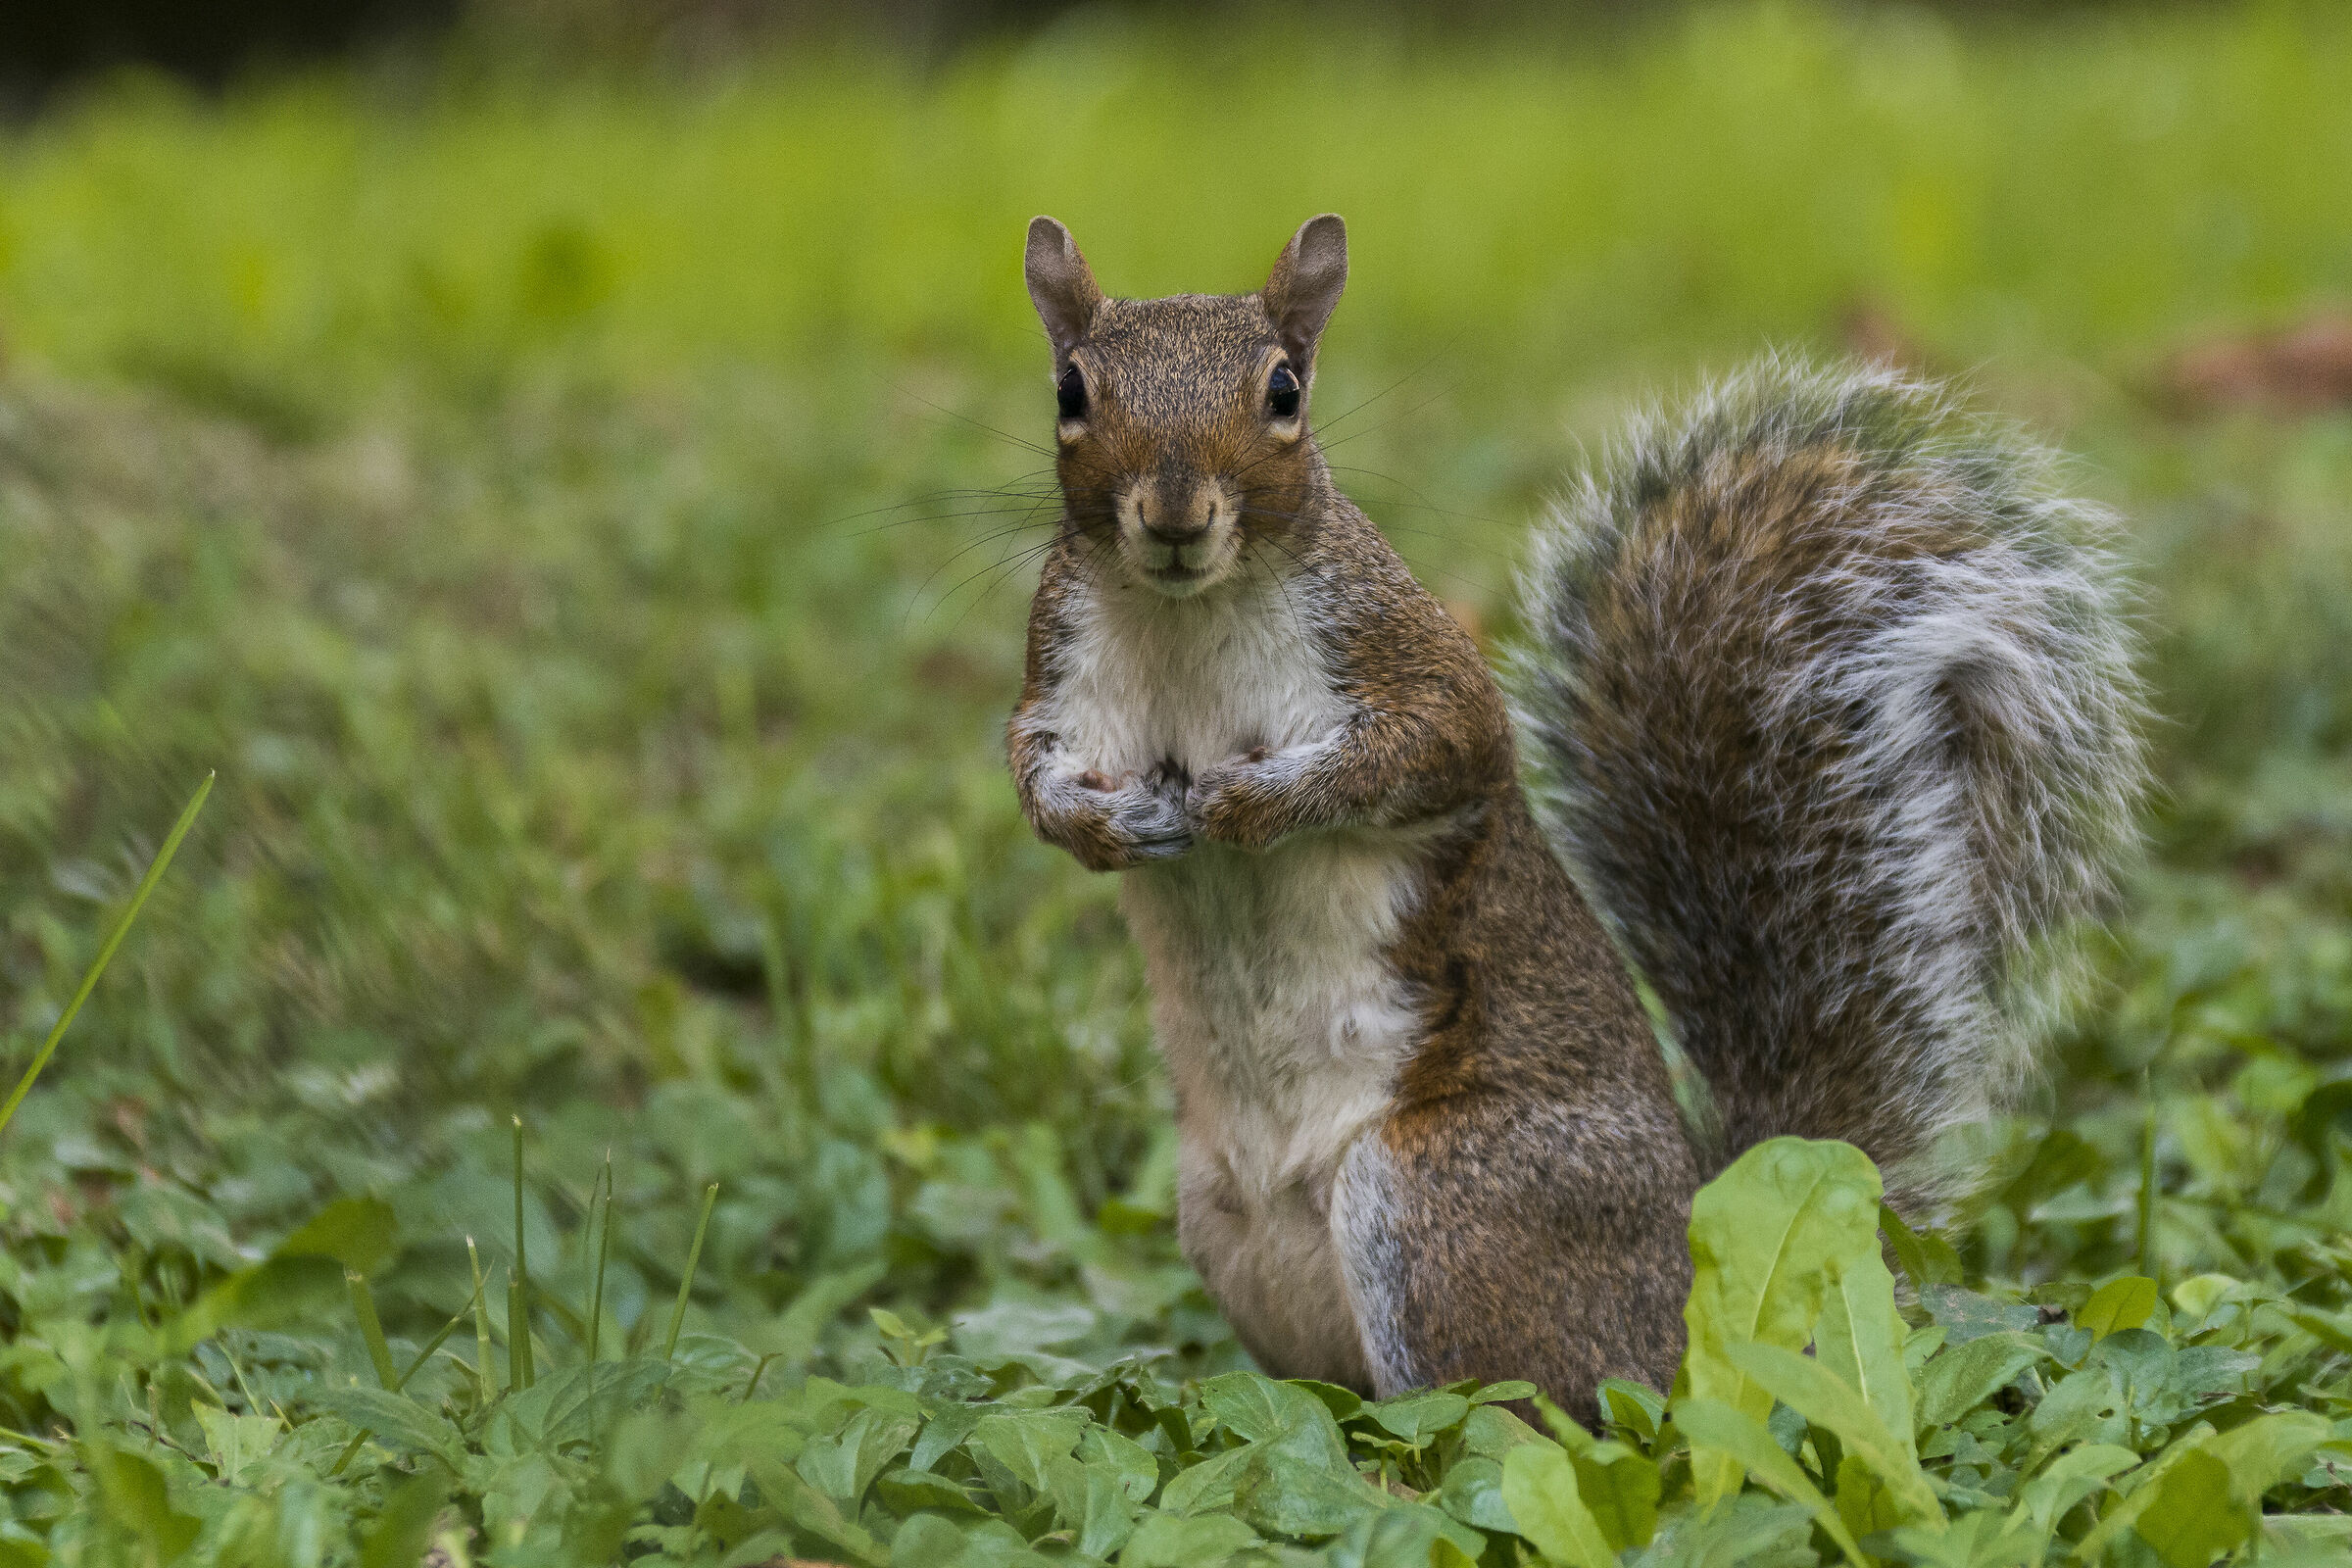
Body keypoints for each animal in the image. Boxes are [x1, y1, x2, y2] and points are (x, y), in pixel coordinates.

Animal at [1006, 213, 2146, 1418]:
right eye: (1071, 390)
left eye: (1283, 391)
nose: (1175, 515)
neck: (1184, 613)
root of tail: (1696, 1285)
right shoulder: (1057, 677)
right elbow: (1032, 780)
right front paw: (1107, 828)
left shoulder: (1409, 660)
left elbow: (1434, 749)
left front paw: (1251, 802)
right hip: (1232, 1228)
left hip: (1440, 1204)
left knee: (1508, 1419)